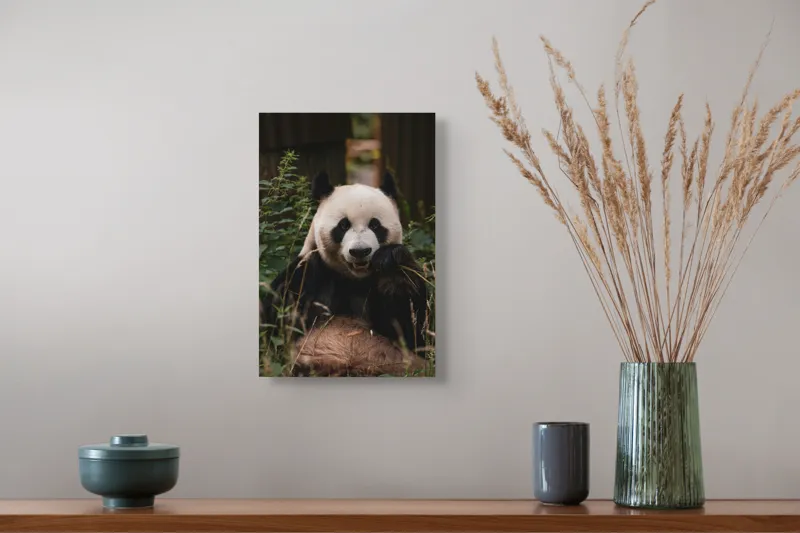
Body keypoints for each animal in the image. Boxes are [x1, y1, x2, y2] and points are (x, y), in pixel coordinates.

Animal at [260, 170, 430, 377]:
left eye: (375, 225)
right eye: (343, 225)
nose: (360, 251)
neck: (353, 280)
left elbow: (412, 330)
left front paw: (391, 262)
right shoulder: (307, 275)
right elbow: (275, 323)